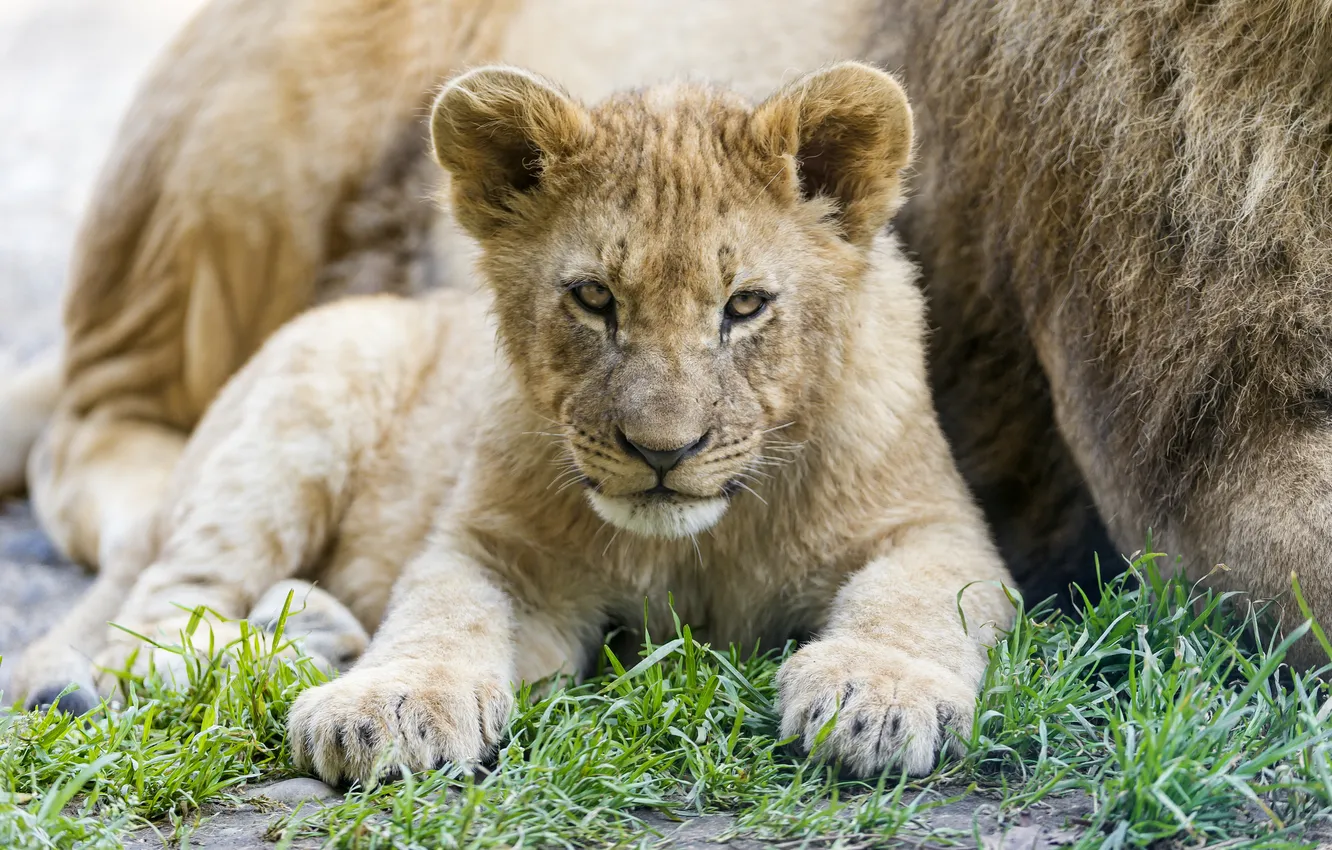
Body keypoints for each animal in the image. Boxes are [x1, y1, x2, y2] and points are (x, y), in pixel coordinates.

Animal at [12, 63, 1016, 783]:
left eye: (745, 306)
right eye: (594, 298)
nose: (663, 453)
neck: (698, 545)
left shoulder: (943, 528)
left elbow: (913, 599)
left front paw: (876, 695)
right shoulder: (492, 546)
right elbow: (441, 612)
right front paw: (385, 706)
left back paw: (317, 630)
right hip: (303, 400)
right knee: (151, 624)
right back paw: (297, 653)